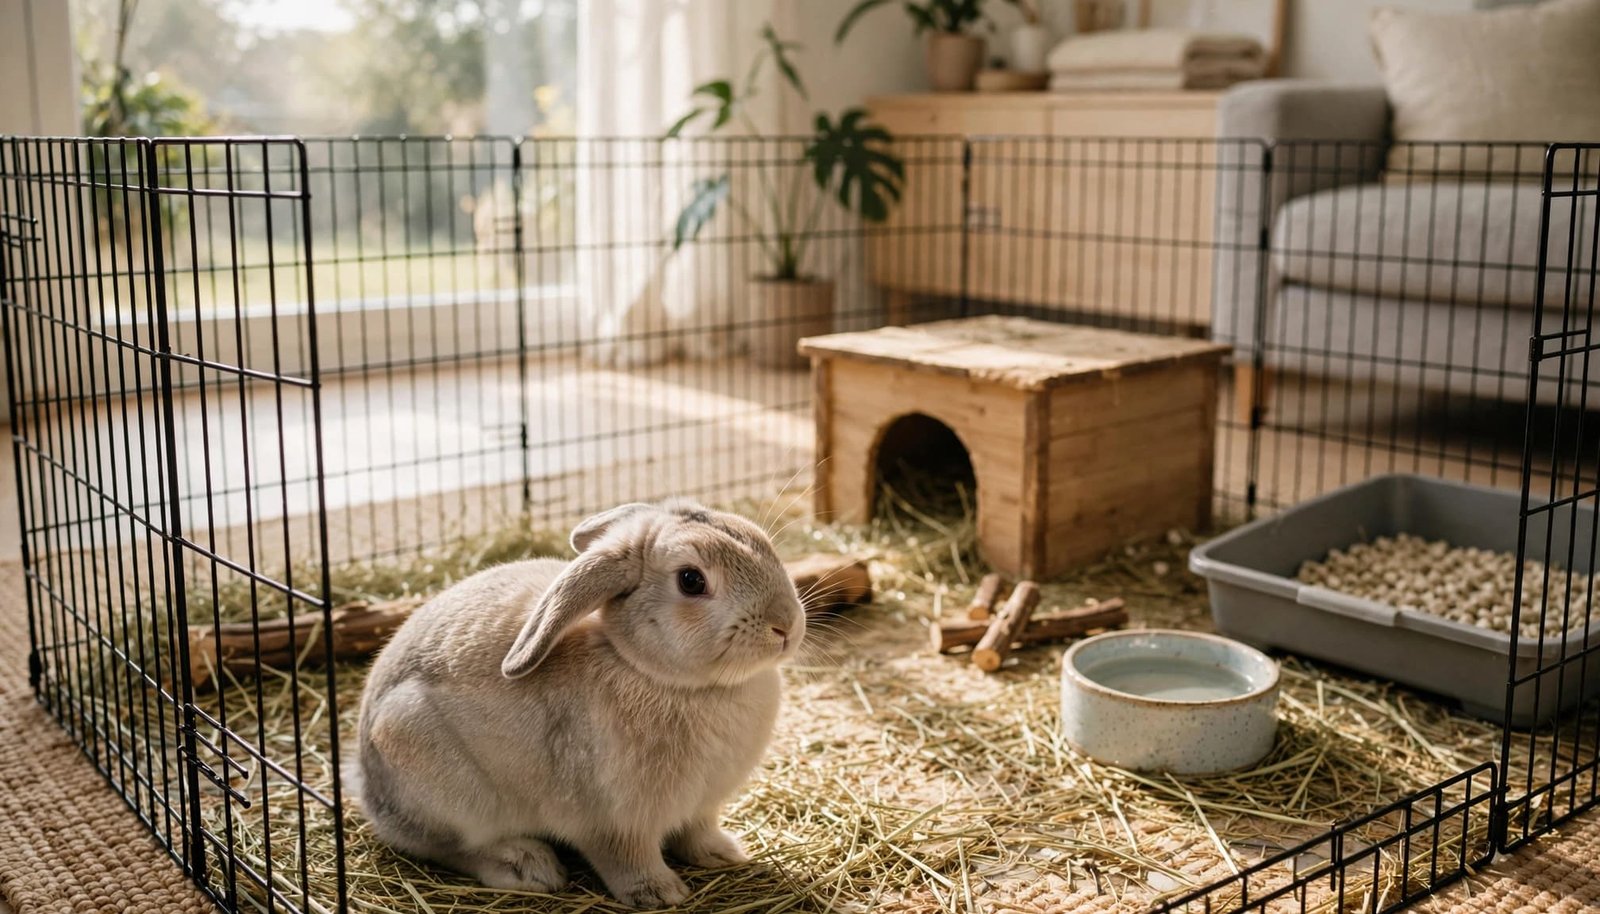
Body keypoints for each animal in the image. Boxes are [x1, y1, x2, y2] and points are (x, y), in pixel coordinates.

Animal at [349, 500, 806, 909]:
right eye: (691, 580)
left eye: (763, 541)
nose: (785, 624)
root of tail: (369, 790)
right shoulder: (613, 821)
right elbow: (626, 858)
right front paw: (660, 893)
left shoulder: (701, 808)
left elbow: (697, 832)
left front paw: (725, 853)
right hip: (431, 768)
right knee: (448, 845)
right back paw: (527, 866)